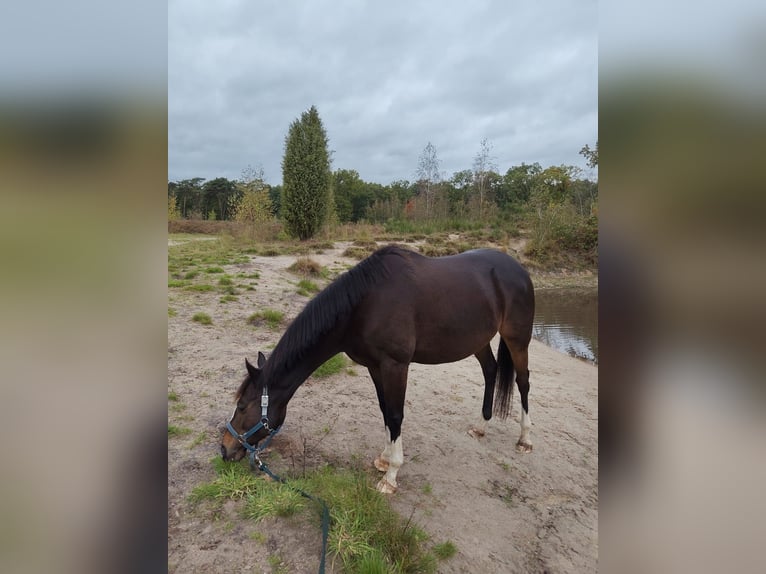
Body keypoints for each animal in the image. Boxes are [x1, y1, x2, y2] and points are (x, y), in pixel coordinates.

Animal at [221, 245, 535, 493]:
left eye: (243, 406)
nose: (225, 448)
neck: (363, 305)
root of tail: (519, 269)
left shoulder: (395, 365)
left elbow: (396, 415)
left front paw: (391, 476)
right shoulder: (375, 366)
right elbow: (385, 411)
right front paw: (384, 459)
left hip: (517, 340)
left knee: (523, 381)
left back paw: (524, 439)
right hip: (478, 340)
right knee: (491, 371)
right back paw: (481, 426)